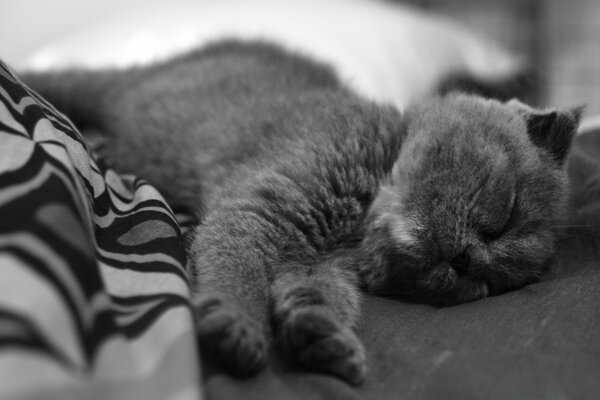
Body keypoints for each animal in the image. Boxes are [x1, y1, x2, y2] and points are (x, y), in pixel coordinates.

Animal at [22, 39, 580, 384]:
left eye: (488, 285)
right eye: (504, 214)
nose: (466, 262)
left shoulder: (315, 263)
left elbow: (317, 294)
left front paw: (324, 337)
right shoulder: (259, 209)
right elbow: (238, 270)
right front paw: (236, 326)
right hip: (113, 86)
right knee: (67, 81)